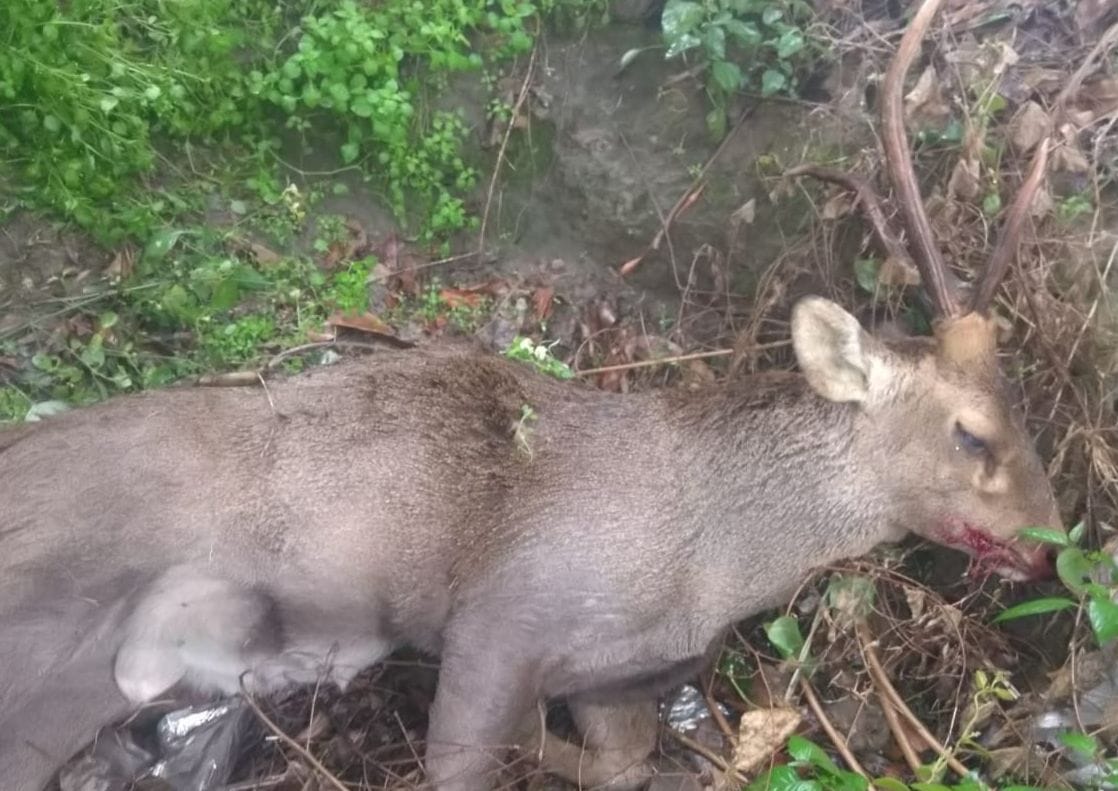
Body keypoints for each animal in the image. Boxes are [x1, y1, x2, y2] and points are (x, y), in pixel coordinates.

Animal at [0, 0, 1061, 789]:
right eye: (973, 433)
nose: (1054, 543)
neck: (710, 559)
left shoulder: (616, 673)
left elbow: (623, 762)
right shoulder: (501, 617)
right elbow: (465, 757)